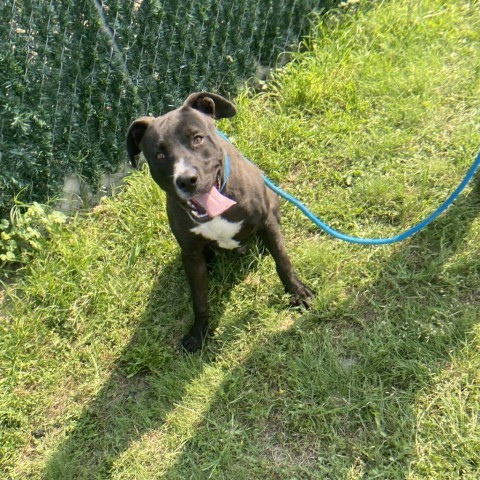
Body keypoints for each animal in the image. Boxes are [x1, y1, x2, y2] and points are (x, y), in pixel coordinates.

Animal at [125, 92, 314, 352]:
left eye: (197, 139)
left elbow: (283, 261)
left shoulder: (266, 222)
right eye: (159, 155)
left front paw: (297, 292)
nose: (187, 180)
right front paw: (199, 331)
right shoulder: (191, 252)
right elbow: (199, 298)